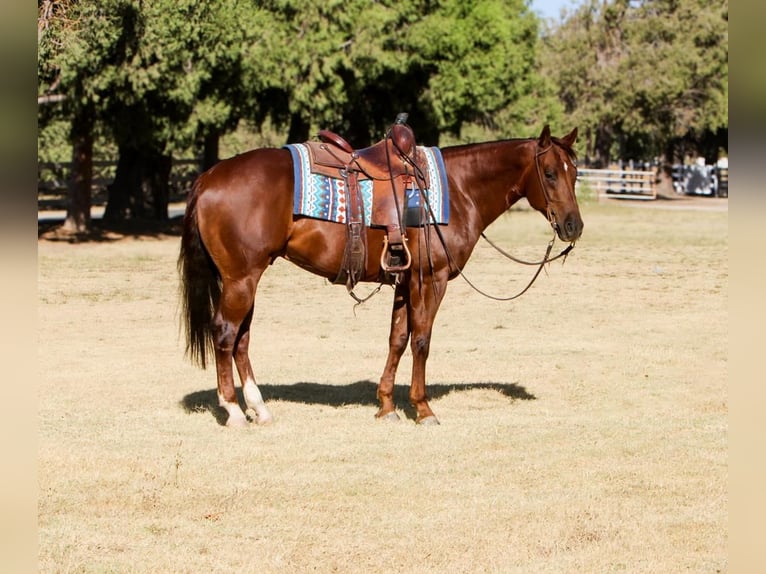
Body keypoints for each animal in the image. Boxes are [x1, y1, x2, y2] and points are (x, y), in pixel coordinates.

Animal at [180, 125, 584, 428]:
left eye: (575, 173)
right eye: (550, 173)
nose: (573, 226)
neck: (459, 189)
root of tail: (208, 177)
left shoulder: (404, 281)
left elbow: (397, 339)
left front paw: (387, 406)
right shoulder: (429, 279)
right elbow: (421, 340)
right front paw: (423, 408)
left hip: (247, 279)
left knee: (242, 340)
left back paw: (259, 408)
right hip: (240, 279)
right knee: (226, 334)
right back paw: (233, 410)